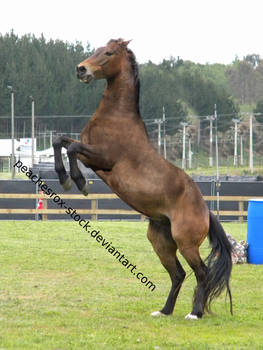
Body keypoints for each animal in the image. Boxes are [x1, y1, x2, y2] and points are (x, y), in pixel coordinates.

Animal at [53, 38, 233, 320]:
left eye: (108, 53)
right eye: (96, 49)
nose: (81, 69)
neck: (116, 117)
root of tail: (206, 210)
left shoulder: (102, 158)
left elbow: (70, 148)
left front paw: (78, 182)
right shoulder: (90, 153)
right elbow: (59, 140)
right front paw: (64, 178)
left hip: (186, 243)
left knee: (201, 273)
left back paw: (195, 313)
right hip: (160, 241)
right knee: (178, 274)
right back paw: (164, 311)